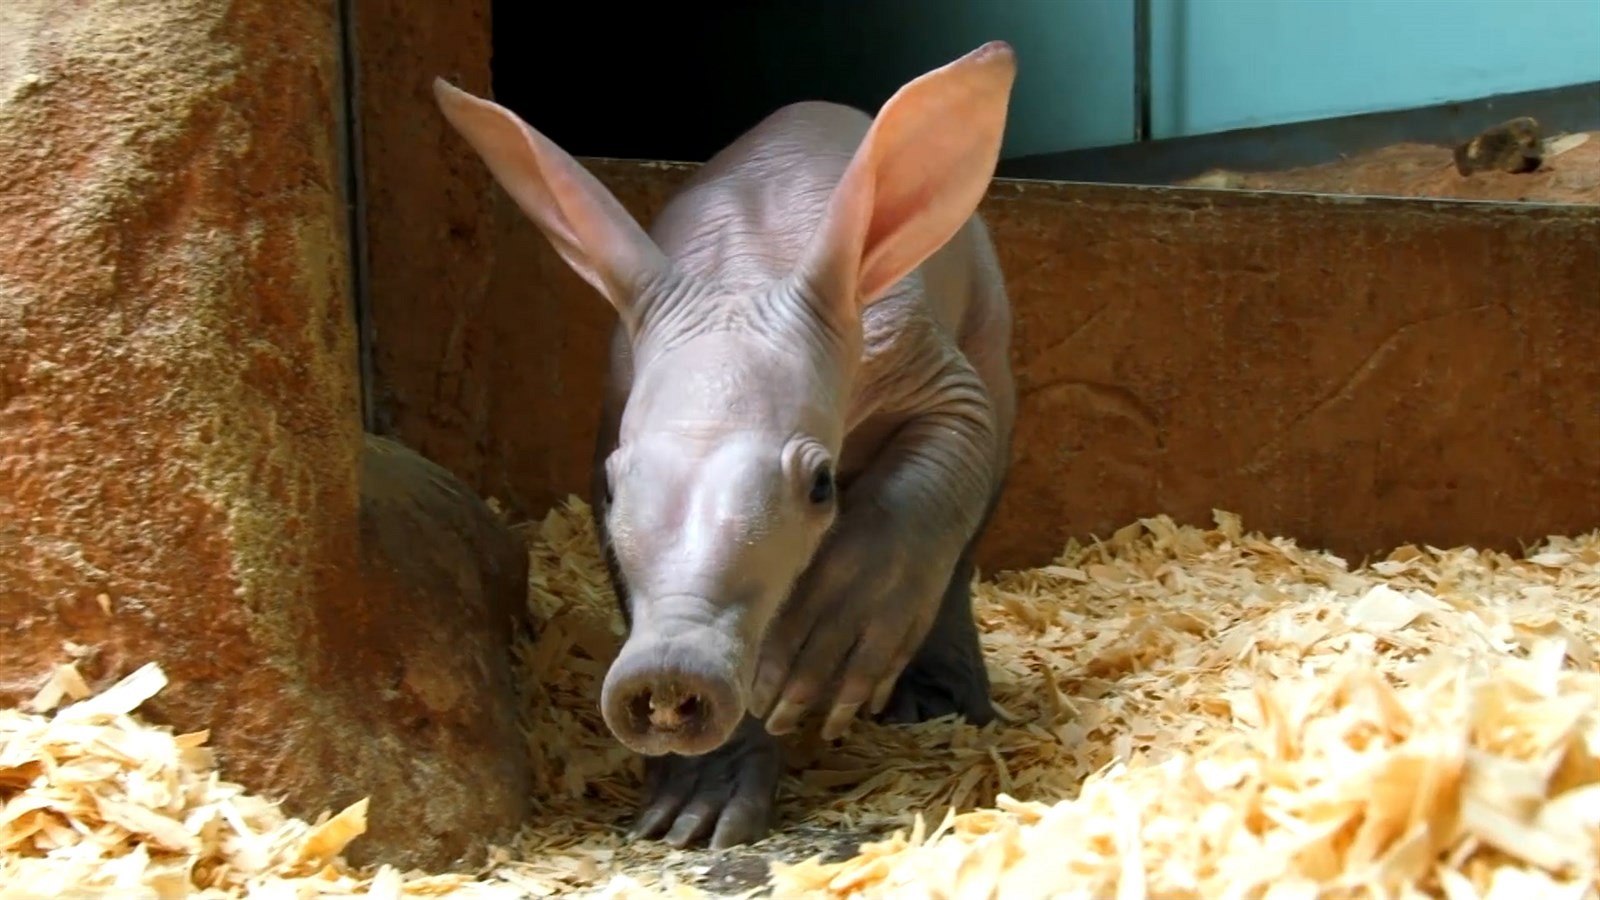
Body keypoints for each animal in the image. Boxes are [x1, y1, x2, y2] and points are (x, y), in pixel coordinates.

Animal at [433, 40, 1018, 850]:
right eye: (612, 484)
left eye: (820, 484)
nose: (670, 671)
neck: (749, 269)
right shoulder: (616, 396)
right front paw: (692, 808)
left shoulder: (918, 356)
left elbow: (952, 445)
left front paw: (820, 654)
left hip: (990, 319)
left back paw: (941, 702)